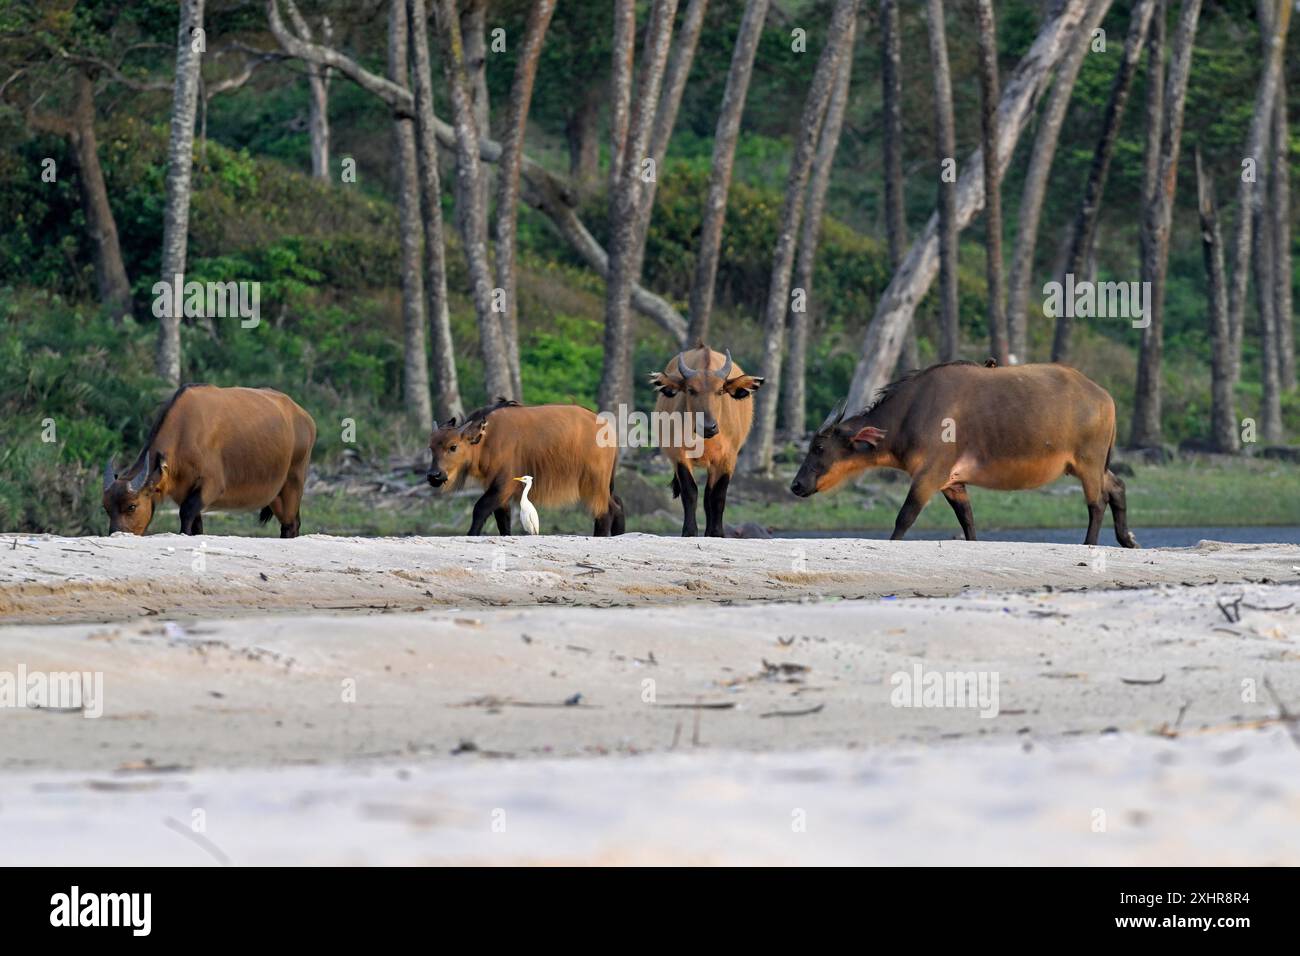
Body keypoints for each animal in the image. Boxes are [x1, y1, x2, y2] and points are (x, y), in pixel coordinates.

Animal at [101, 382, 314, 538]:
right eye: (106, 508)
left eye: (132, 506)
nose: (116, 534)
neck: (184, 432)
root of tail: (304, 417)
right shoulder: (185, 491)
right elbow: (196, 525)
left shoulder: (210, 487)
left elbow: (186, 515)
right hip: (276, 496)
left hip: (292, 484)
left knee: (291, 525)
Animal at [426, 398, 624, 538]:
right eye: (431, 447)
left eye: (453, 447)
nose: (434, 475)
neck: (488, 439)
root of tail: (606, 426)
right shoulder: (498, 489)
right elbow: (502, 520)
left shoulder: (504, 484)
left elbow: (480, 509)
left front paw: (471, 534)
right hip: (604, 484)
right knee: (618, 504)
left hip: (594, 483)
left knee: (606, 510)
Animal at [647, 343, 759, 538]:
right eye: (691, 390)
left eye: (720, 390)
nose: (709, 427)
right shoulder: (679, 456)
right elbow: (690, 492)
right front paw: (689, 531)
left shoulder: (727, 459)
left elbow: (717, 496)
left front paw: (717, 532)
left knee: (709, 496)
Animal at [780, 361, 1138, 548]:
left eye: (819, 447)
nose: (796, 485)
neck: (909, 414)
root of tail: (1104, 397)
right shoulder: (952, 482)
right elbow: (968, 521)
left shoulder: (929, 475)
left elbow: (904, 517)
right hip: (1085, 466)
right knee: (1117, 486)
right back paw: (1127, 539)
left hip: (1088, 463)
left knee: (1097, 502)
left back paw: (1089, 544)